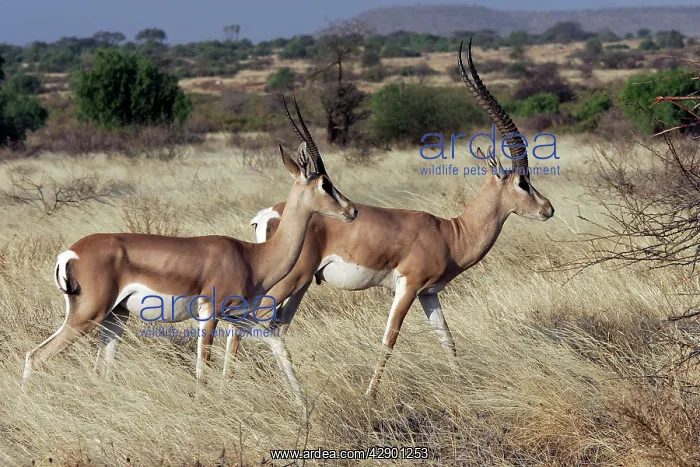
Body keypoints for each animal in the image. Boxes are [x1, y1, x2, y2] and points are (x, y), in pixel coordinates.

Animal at [22, 97, 358, 405]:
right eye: (325, 184)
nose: (352, 210)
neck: (252, 256)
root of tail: (70, 253)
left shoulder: (237, 316)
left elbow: (277, 343)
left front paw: (303, 406)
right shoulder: (209, 315)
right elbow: (202, 371)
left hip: (114, 318)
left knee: (100, 370)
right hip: (87, 317)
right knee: (36, 356)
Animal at [231, 39, 555, 399]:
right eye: (522, 182)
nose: (548, 209)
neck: (450, 233)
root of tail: (268, 214)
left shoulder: (430, 294)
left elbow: (447, 339)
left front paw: (462, 384)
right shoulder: (407, 287)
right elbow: (389, 339)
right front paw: (370, 396)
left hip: (298, 286)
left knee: (268, 327)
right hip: (284, 282)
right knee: (241, 326)